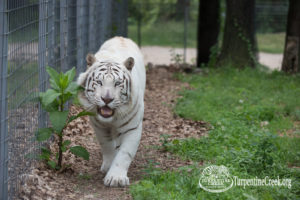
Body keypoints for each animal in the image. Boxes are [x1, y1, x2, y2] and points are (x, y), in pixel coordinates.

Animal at [77, 36, 146, 187]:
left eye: (118, 83)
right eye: (99, 82)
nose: (107, 99)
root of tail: (121, 37)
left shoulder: (132, 128)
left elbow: (125, 153)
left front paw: (116, 178)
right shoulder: (99, 126)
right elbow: (107, 146)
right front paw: (108, 166)